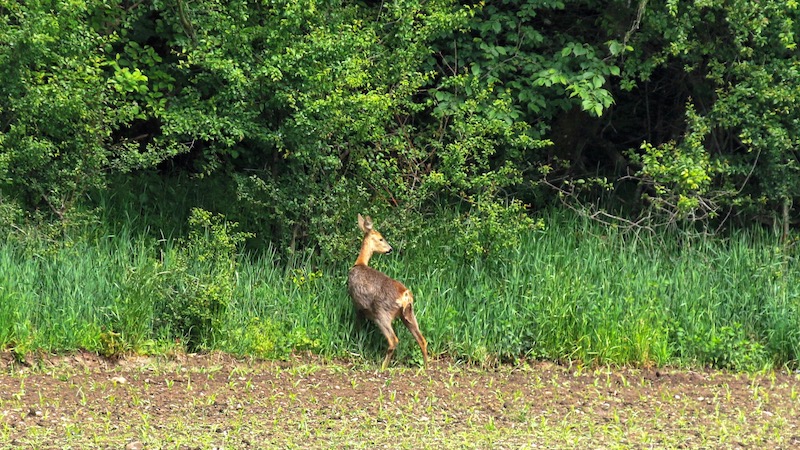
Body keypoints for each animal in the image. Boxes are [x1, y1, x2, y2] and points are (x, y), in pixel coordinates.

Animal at [348, 214, 429, 370]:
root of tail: (405, 295)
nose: (390, 249)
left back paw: (382, 367)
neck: (359, 263)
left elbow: (358, 324)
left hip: (382, 313)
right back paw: (427, 367)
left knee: (393, 340)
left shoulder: (357, 303)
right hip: (409, 314)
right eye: (381, 238)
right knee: (422, 339)